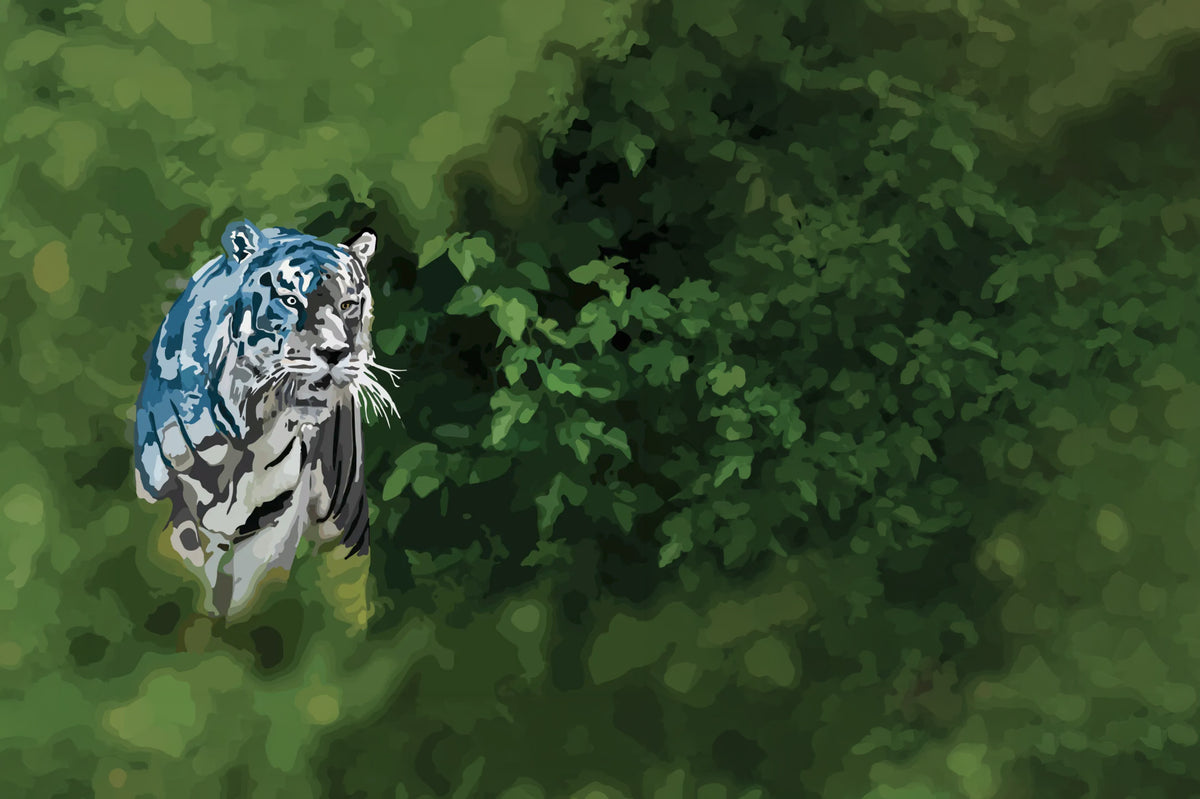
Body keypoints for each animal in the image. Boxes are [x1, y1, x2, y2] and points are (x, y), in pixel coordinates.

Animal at [133, 220, 397, 618]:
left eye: (348, 304)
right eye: (290, 300)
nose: (335, 353)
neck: (239, 433)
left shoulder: (271, 522)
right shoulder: (170, 510)